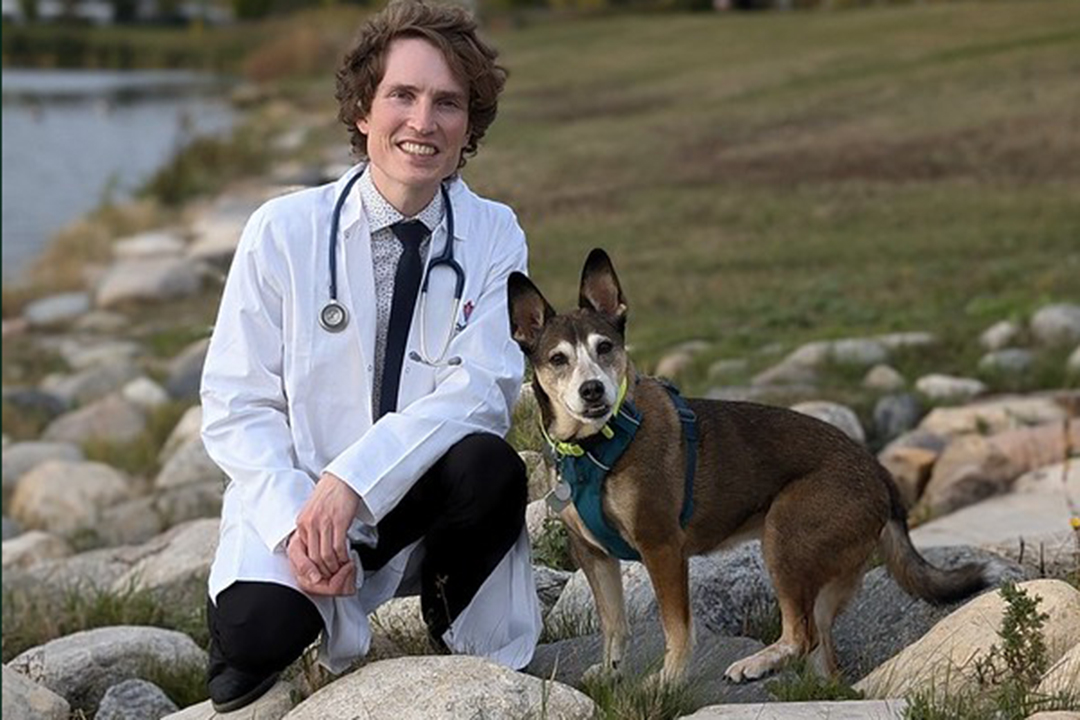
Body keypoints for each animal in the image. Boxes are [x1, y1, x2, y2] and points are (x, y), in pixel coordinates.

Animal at [505, 250, 989, 686]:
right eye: (558, 359)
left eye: (604, 348)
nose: (592, 390)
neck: (598, 443)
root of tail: (877, 470)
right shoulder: (595, 555)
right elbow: (614, 624)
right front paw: (610, 671)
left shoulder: (662, 547)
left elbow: (676, 629)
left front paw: (668, 681)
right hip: (825, 573)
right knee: (821, 650)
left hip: (785, 538)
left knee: (800, 635)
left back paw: (757, 663)